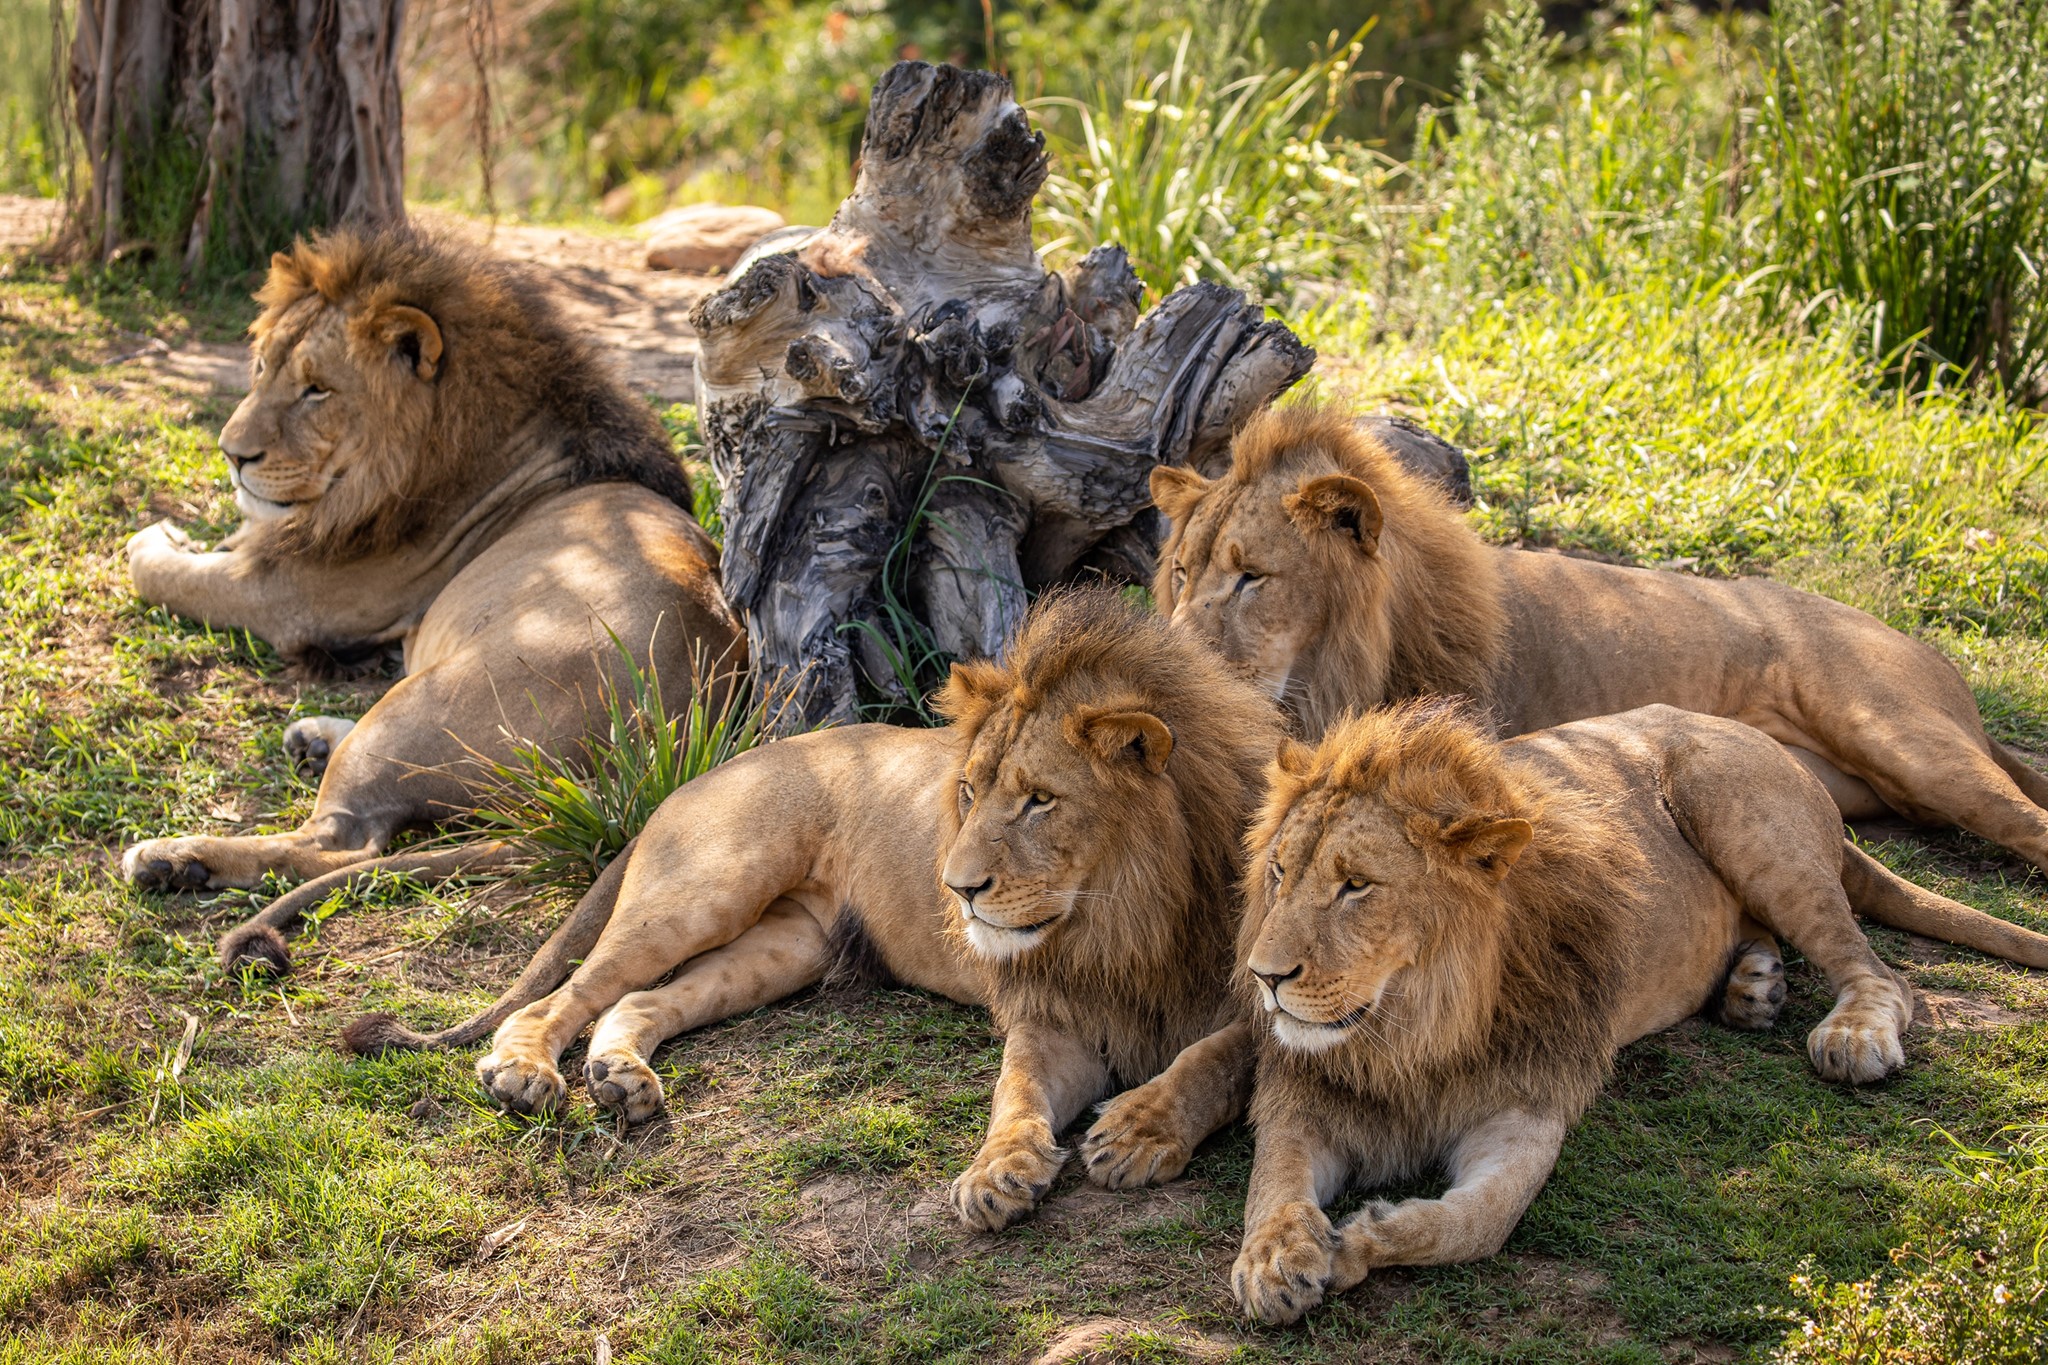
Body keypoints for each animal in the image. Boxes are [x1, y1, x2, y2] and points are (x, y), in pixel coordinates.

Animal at [116, 227, 741, 970]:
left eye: (316, 391)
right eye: (261, 368)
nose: (232, 454)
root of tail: (659, 744)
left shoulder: (285, 597)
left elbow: (157, 569)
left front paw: (160, 532)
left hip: (419, 705)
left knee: (336, 843)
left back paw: (172, 857)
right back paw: (309, 739)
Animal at [937, 593, 1286, 1236]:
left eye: (1040, 800)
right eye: (969, 791)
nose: (959, 888)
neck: (1126, 932)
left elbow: (1213, 1057)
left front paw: (1137, 1130)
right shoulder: (1065, 1015)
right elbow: (1016, 1081)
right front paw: (995, 1168)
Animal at [1220, 695, 2039, 1326]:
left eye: (1356, 886)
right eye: (1279, 872)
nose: (1264, 976)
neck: (1416, 1028)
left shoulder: (1525, 1107)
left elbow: (1474, 1223)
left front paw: (1361, 1240)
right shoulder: (1303, 1093)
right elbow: (1274, 1179)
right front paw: (1275, 1258)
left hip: (1745, 820)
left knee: (1882, 973)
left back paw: (1850, 1033)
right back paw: (1754, 987)